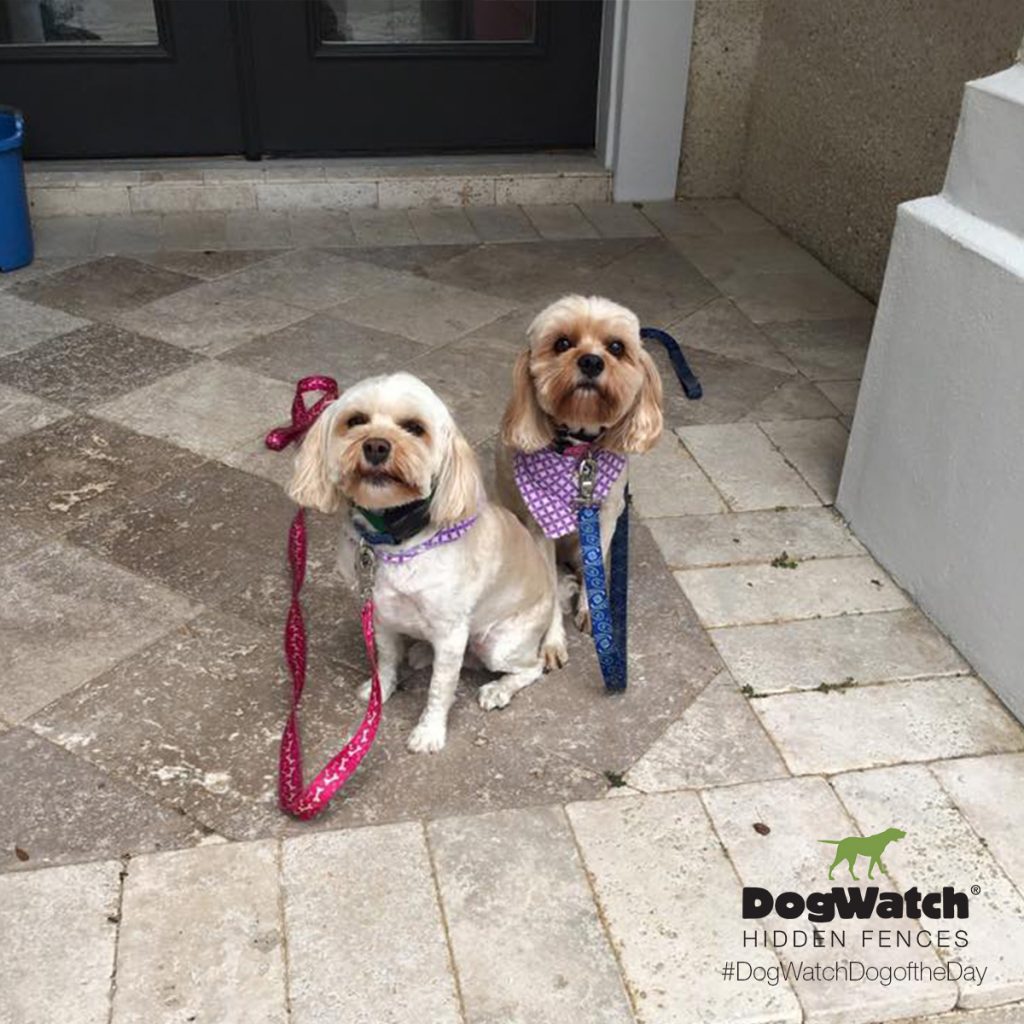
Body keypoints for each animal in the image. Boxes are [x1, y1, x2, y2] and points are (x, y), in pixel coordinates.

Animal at [288, 372, 557, 749]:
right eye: (355, 421)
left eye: (415, 428)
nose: (376, 446)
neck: (395, 540)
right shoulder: (381, 616)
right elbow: (386, 660)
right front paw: (379, 692)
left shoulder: (451, 632)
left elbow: (440, 689)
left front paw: (429, 732)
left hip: (499, 644)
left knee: (529, 667)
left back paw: (498, 689)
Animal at [495, 294, 663, 671]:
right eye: (562, 343)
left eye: (616, 347)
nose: (590, 360)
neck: (577, 450)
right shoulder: (541, 527)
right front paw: (552, 642)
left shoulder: (605, 515)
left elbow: (594, 565)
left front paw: (594, 610)